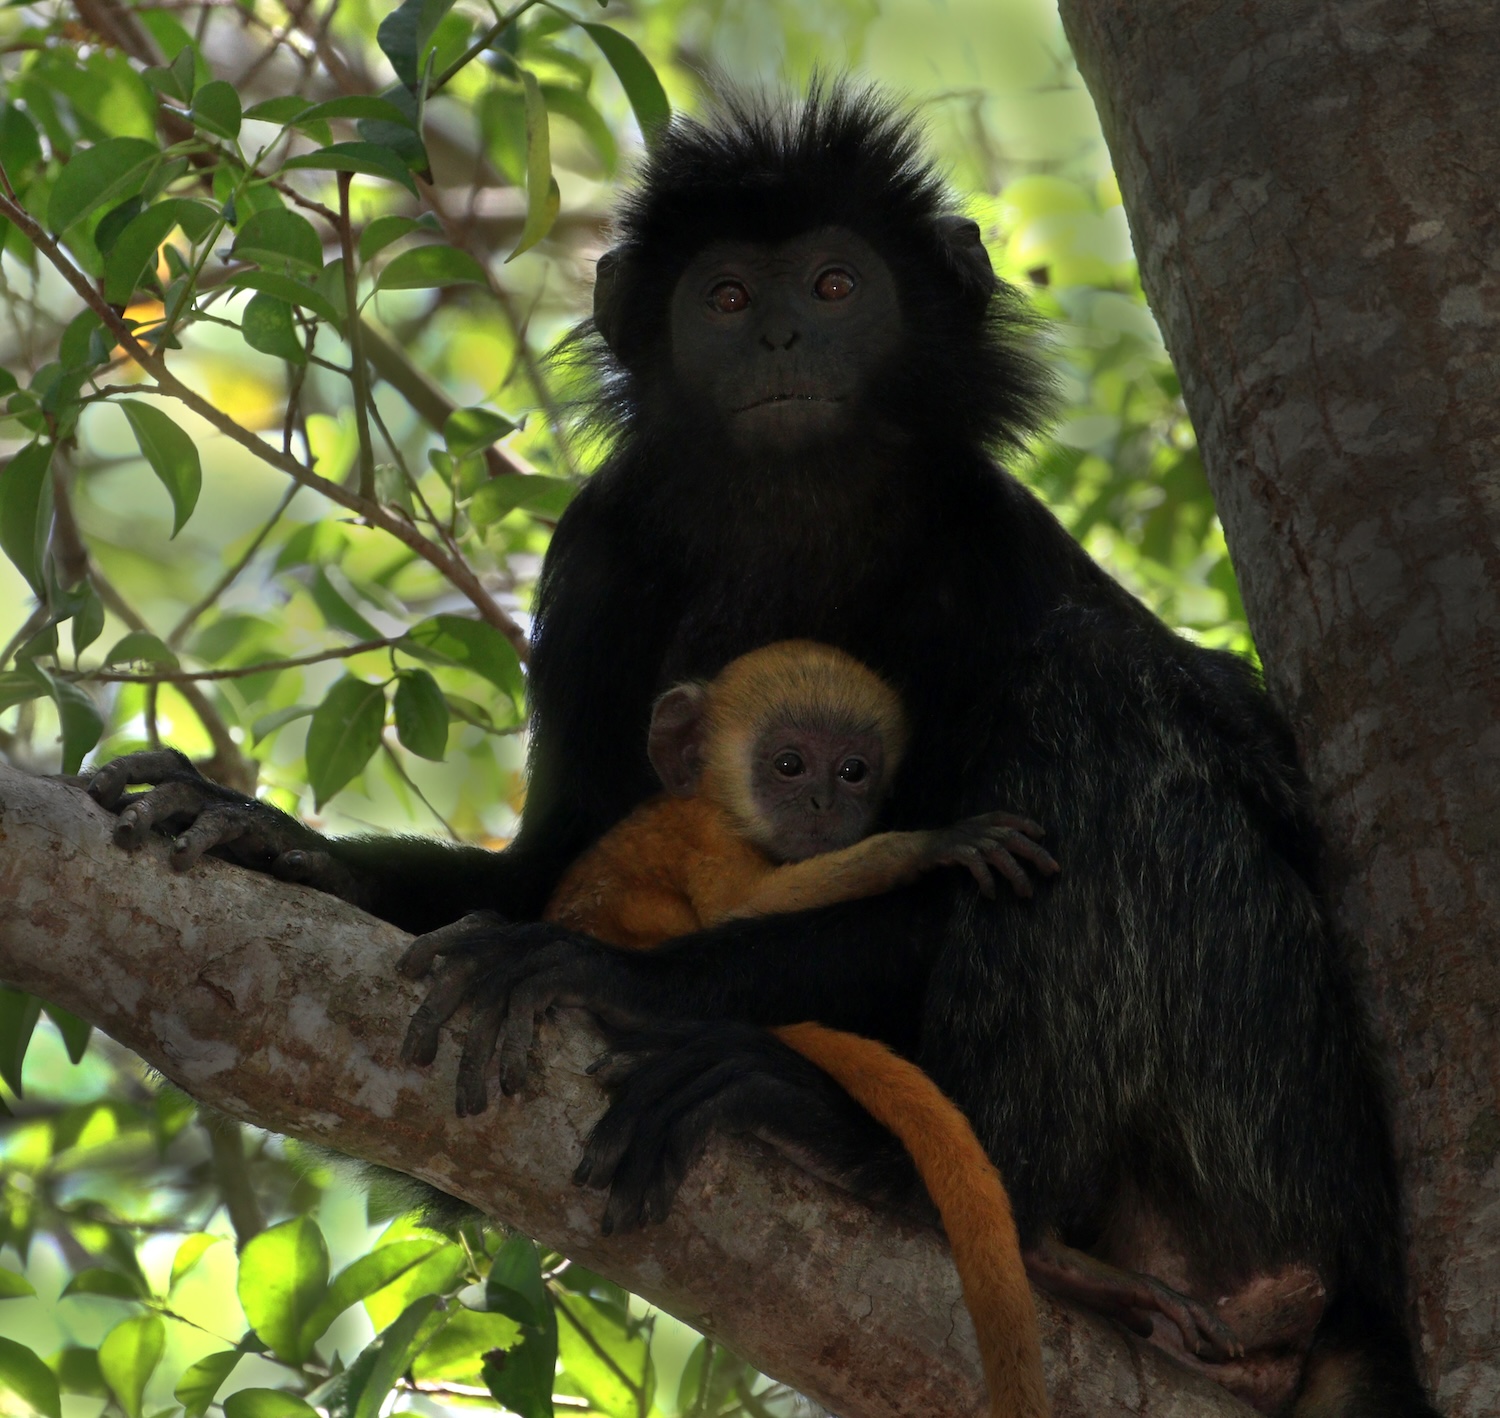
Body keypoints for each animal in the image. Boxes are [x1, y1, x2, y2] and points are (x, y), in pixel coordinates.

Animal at [523, 638, 1054, 1418]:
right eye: (789, 765)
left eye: (853, 770)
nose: (823, 803)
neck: (710, 802)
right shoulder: (710, 838)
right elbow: (750, 904)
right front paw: (928, 846)